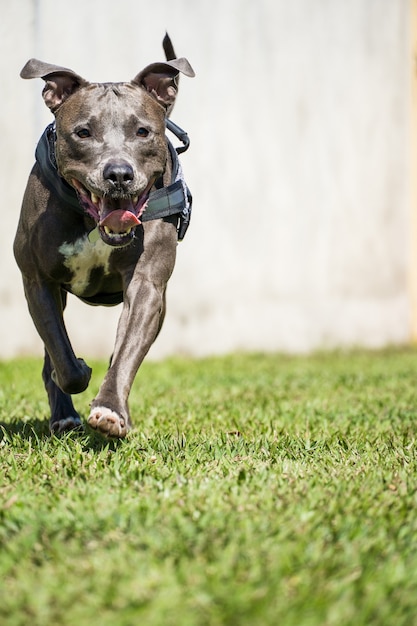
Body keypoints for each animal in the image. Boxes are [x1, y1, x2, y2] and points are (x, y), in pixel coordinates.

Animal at [13, 33, 195, 434]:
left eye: (142, 131)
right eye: (83, 132)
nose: (119, 174)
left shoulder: (146, 285)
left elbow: (126, 352)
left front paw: (111, 409)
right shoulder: (38, 281)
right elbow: (61, 358)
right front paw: (79, 372)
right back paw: (64, 415)